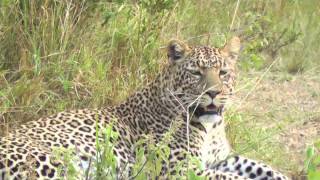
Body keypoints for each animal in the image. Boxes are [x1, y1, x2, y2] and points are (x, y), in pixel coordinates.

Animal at [0, 37, 288, 180]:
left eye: (223, 72)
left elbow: (265, 168)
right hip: (55, 163)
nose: (213, 93)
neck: (210, 128)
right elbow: (235, 179)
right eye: (195, 73)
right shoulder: (182, 170)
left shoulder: (222, 158)